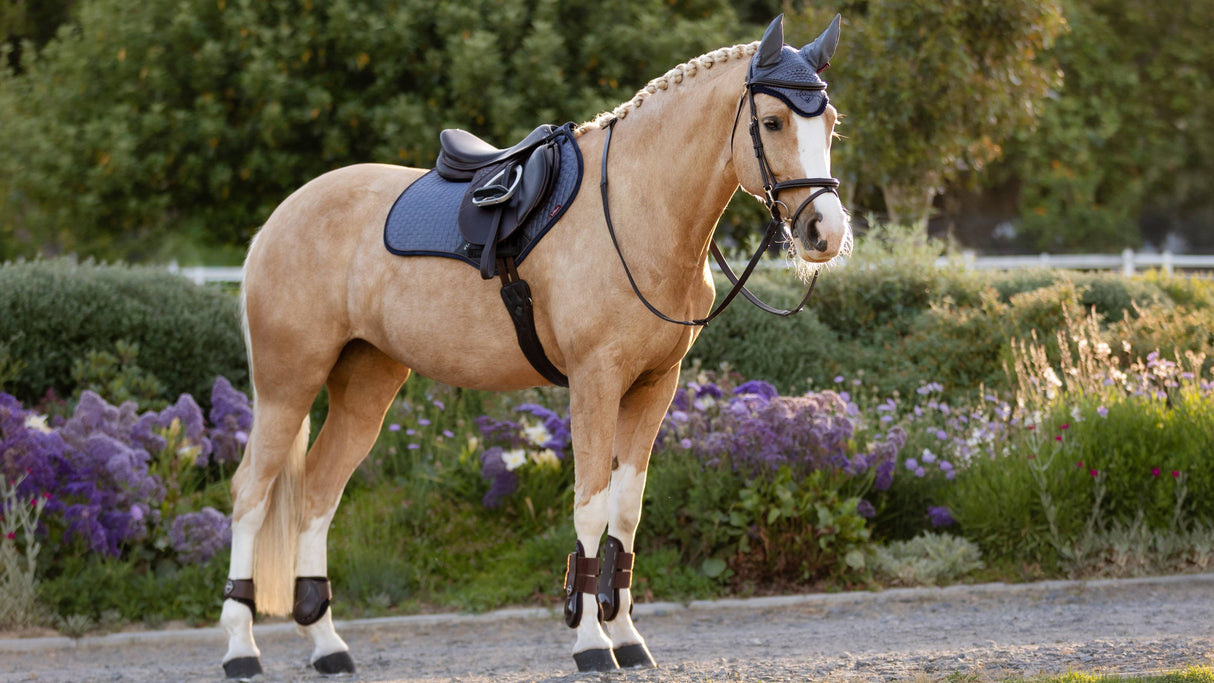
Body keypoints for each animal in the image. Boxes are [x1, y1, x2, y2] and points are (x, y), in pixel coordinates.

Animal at [218, 12, 849, 679]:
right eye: (773, 121)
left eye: (830, 122)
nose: (825, 232)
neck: (632, 211)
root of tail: (279, 218)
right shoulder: (595, 383)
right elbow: (591, 507)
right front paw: (592, 643)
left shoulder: (655, 387)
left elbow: (626, 512)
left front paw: (627, 637)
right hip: (288, 384)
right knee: (251, 495)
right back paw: (241, 648)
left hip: (365, 384)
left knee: (317, 493)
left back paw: (328, 646)